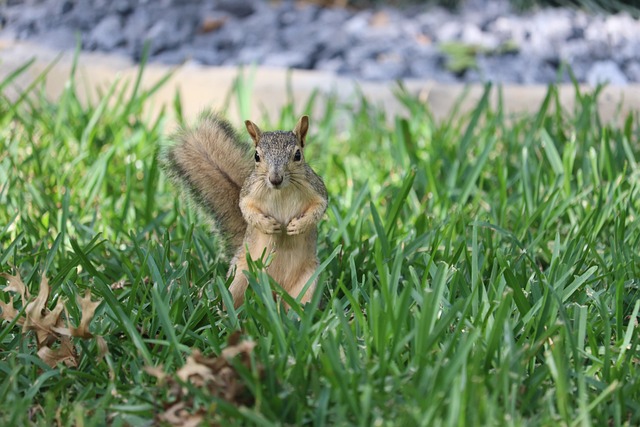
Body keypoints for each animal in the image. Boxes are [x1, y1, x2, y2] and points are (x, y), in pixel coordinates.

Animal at [160, 113, 328, 308]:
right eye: (256, 156)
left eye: (298, 155)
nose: (275, 179)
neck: (281, 191)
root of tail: (274, 291)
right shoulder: (248, 193)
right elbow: (246, 209)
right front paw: (267, 225)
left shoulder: (316, 188)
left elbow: (320, 207)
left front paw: (299, 225)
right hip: (239, 277)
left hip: (308, 283)